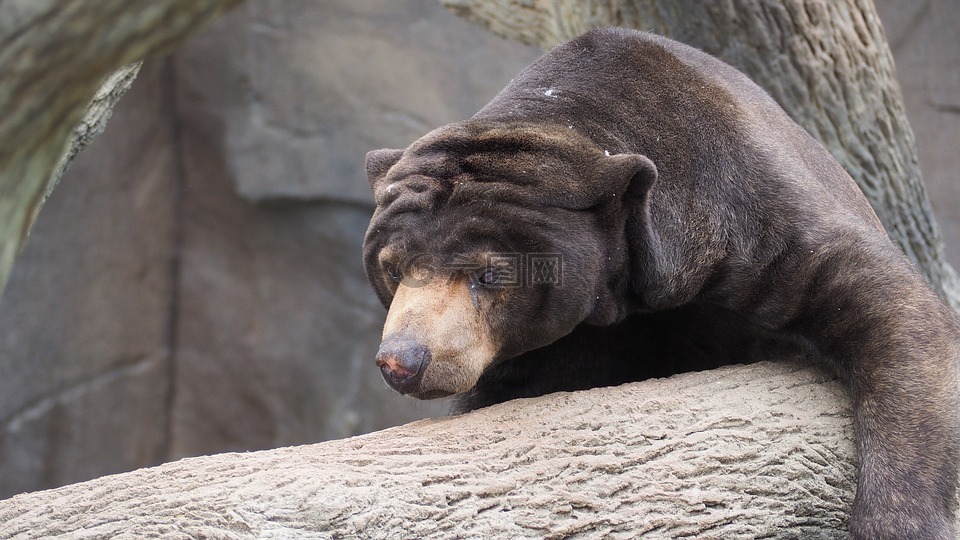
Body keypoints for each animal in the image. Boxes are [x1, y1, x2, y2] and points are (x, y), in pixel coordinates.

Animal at [362, 27, 960, 539]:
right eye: (392, 268)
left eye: (490, 273)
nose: (403, 361)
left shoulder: (755, 213)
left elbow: (889, 306)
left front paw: (900, 521)